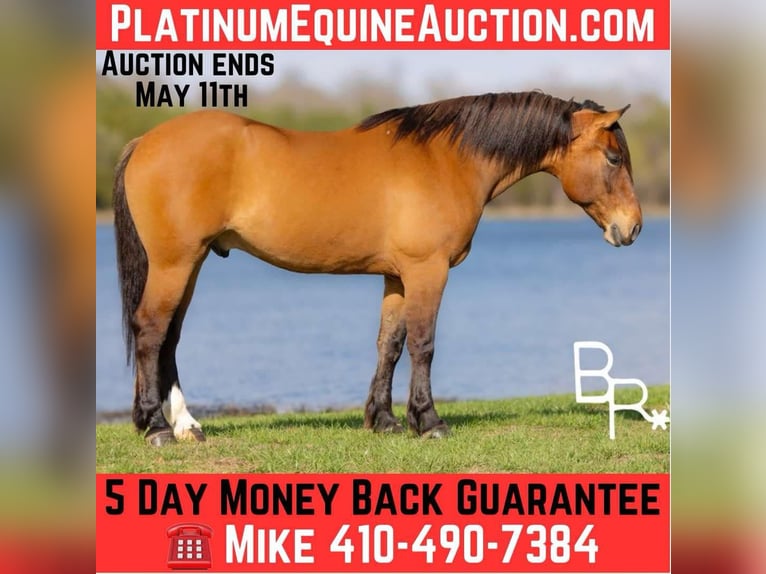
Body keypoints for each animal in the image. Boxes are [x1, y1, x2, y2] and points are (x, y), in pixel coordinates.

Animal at [113, 91, 641, 446]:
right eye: (613, 158)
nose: (632, 228)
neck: (445, 160)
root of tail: (143, 141)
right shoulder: (428, 271)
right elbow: (424, 344)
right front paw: (429, 421)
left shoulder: (396, 276)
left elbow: (390, 344)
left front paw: (383, 419)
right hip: (175, 263)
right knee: (151, 331)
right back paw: (157, 426)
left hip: (191, 263)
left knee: (169, 338)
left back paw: (185, 424)